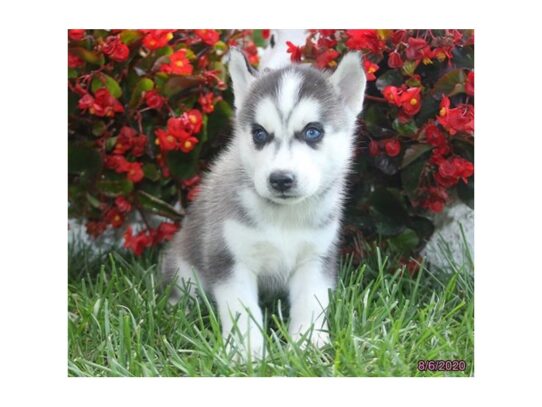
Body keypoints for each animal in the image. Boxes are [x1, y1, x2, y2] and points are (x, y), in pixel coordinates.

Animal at [159, 49, 368, 358]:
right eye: (259, 133)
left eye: (313, 132)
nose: (280, 179)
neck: (284, 218)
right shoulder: (230, 258)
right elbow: (242, 311)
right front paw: (246, 353)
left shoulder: (315, 258)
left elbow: (311, 304)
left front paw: (308, 346)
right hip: (185, 269)